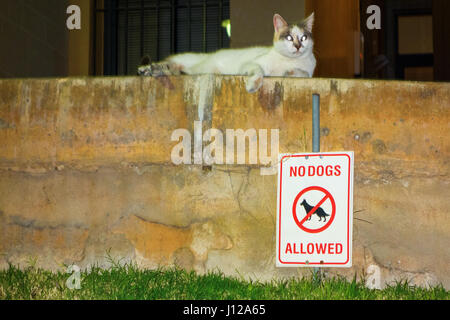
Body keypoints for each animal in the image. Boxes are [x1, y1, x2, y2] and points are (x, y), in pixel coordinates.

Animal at [138, 12, 316, 92]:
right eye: (289, 37)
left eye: (304, 37)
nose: (298, 46)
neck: (289, 61)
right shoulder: (251, 63)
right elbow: (258, 70)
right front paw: (253, 84)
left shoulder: (309, 71)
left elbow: (303, 73)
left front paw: (291, 72)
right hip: (188, 62)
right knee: (169, 65)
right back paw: (147, 69)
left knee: (174, 69)